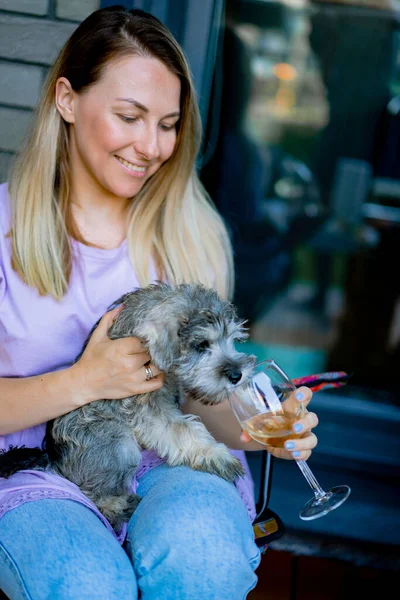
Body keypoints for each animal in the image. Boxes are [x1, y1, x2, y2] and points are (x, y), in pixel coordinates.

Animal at [0, 284, 256, 528]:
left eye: (232, 340)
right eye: (201, 345)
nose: (237, 375)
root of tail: (53, 458)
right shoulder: (148, 407)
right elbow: (183, 429)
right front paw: (215, 455)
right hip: (119, 444)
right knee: (98, 494)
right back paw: (119, 504)